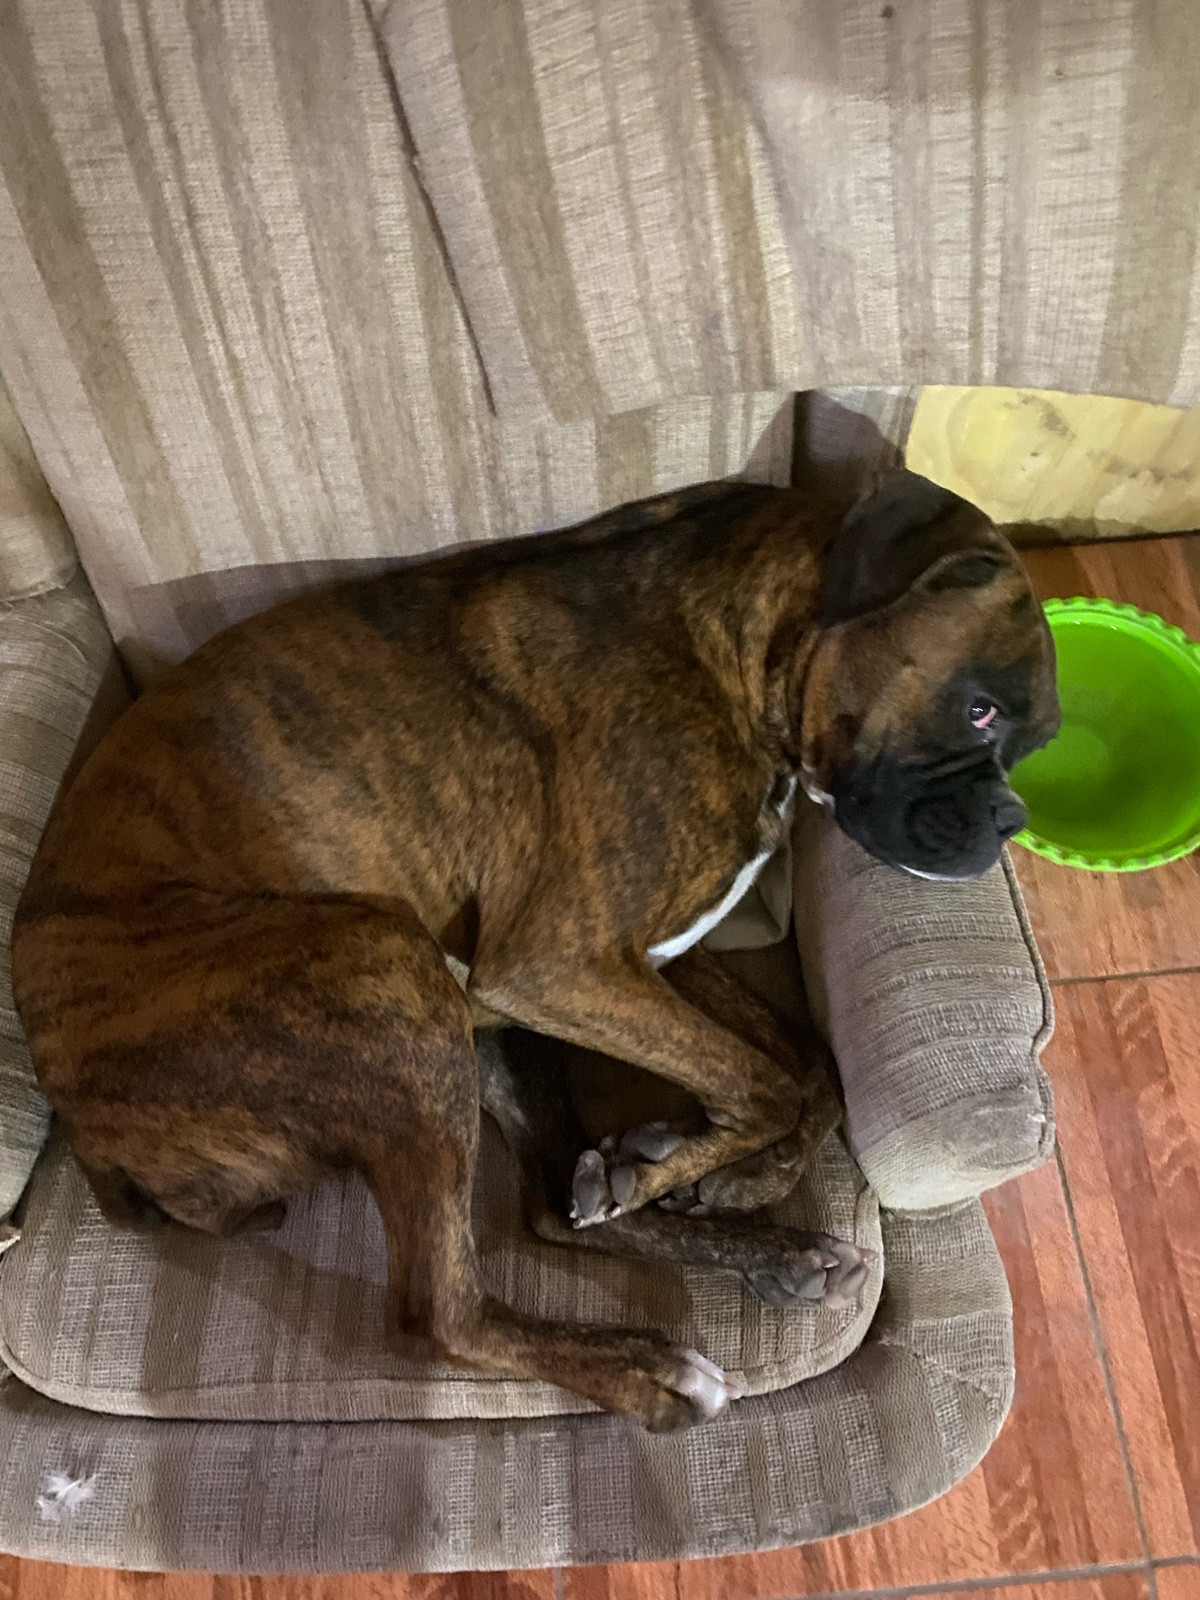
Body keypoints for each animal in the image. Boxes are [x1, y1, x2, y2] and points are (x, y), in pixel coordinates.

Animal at [12, 469, 1059, 1431]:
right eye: (979, 711)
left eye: (1033, 739)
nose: (1011, 820)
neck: (730, 648)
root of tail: (79, 1116)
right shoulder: (562, 967)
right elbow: (762, 1079)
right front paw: (671, 1164)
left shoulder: (648, 959)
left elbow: (808, 1066)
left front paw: (724, 1179)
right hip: (384, 965)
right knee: (440, 1314)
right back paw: (649, 1369)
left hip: (473, 1034)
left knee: (553, 1204)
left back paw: (768, 1249)